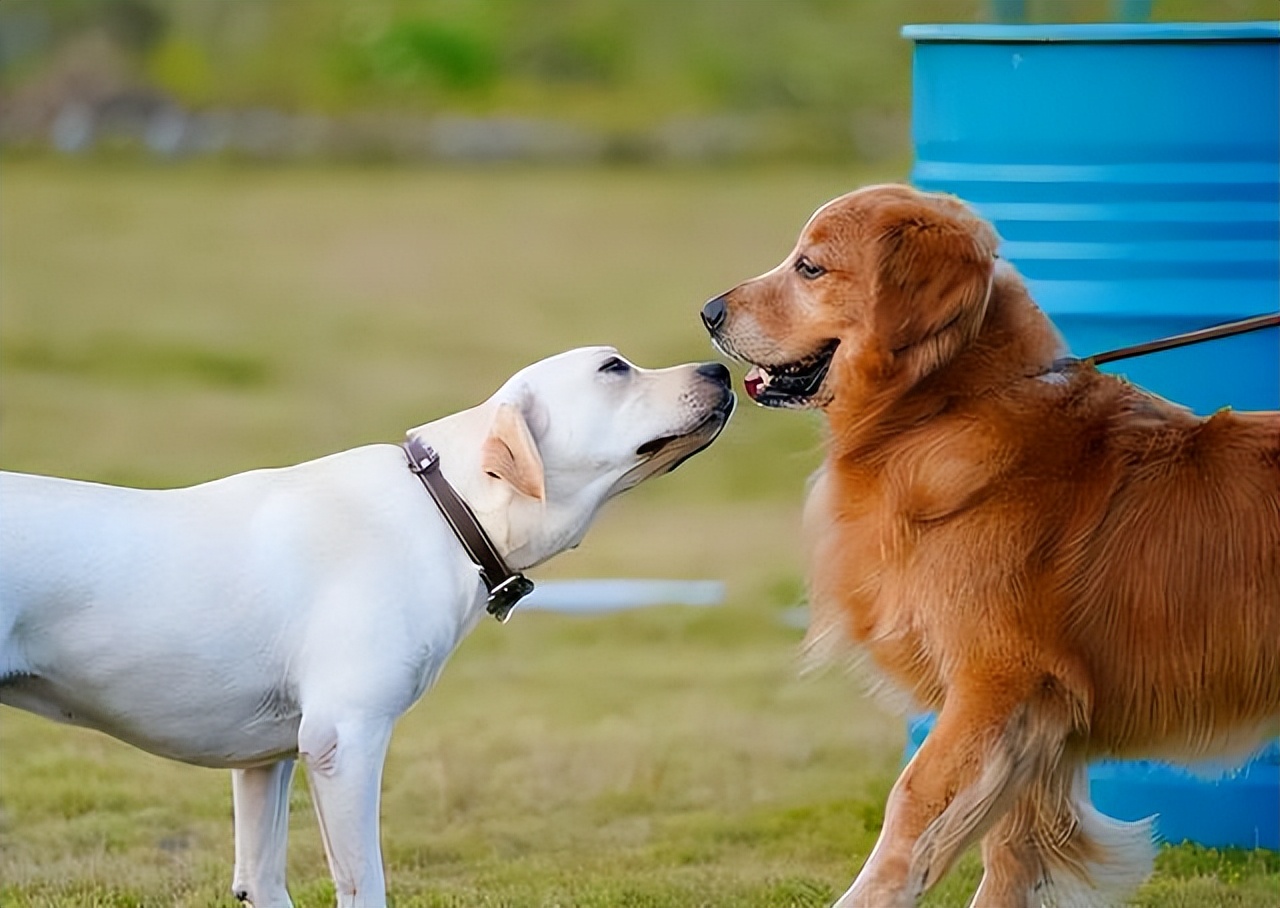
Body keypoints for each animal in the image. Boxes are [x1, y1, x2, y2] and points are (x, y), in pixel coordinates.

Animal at [0, 348, 737, 906]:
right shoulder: (344, 742)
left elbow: (262, 879)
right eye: (614, 367)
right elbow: (364, 885)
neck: (443, 506)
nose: (719, 368)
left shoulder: (266, 764)